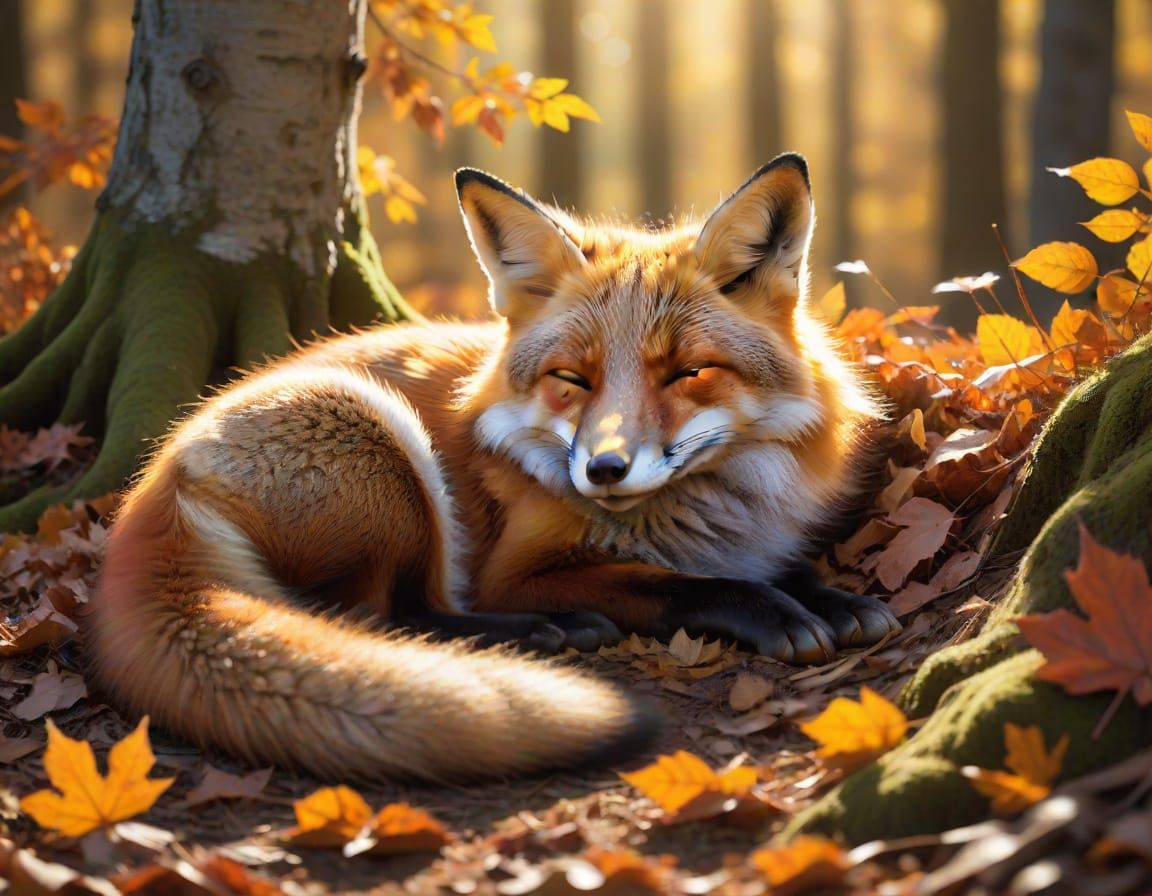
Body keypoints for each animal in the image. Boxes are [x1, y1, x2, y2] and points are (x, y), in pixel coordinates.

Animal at [87, 153, 900, 783]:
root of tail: (147, 488)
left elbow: (771, 569)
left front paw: (830, 598)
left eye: (686, 374)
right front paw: (772, 611)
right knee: (384, 615)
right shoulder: (520, 567)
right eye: (572, 379)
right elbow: (679, 585)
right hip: (385, 448)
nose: (604, 470)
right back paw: (542, 632)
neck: (711, 510)